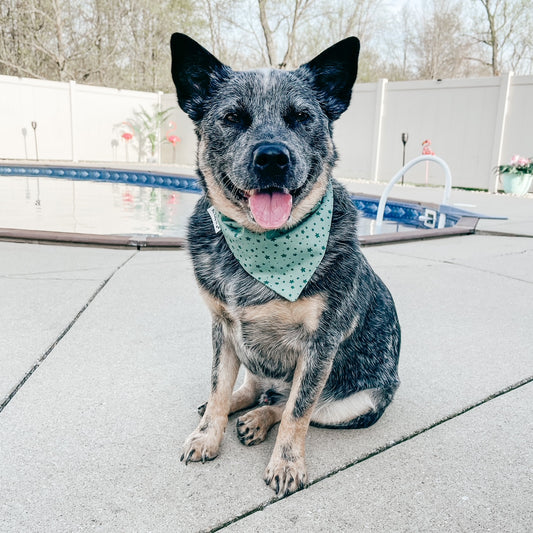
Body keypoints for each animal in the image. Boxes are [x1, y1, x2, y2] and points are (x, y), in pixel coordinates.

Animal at [170, 33, 400, 496]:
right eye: (233, 118)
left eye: (301, 118)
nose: (272, 157)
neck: (261, 244)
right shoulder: (223, 327)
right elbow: (218, 387)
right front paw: (208, 434)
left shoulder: (319, 345)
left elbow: (298, 411)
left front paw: (287, 464)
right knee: (254, 386)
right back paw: (241, 405)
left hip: (359, 402)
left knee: (288, 403)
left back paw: (259, 419)